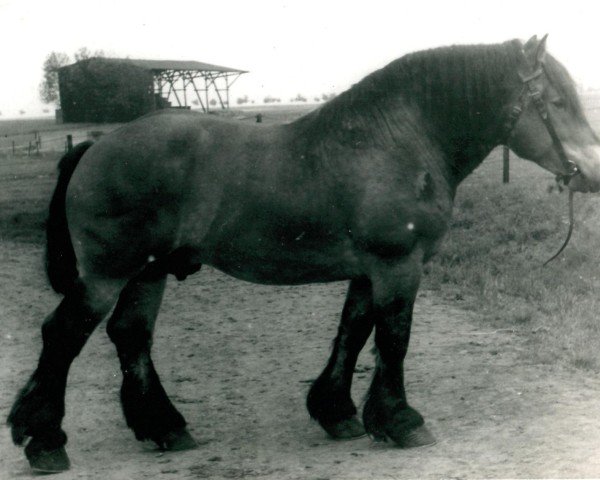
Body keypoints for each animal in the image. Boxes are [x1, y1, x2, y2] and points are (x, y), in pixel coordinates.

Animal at [7, 34, 600, 472]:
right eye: (557, 102)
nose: (591, 174)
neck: (395, 141)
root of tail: (96, 146)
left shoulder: (369, 271)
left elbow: (353, 332)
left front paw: (339, 414)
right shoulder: (398, 266)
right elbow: (393, 339)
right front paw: (402, 422)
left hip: (147, 273)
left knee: (131, 336)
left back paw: (166, 428)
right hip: (108, 273)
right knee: (63, 335)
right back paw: (45, 440)